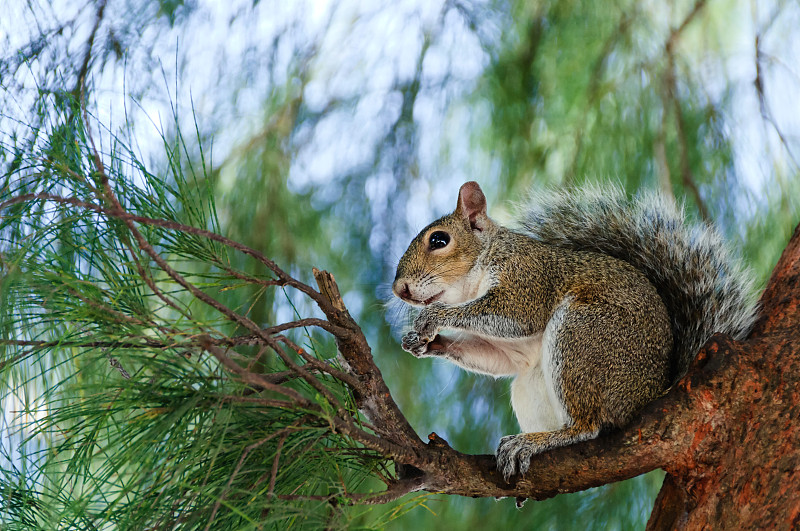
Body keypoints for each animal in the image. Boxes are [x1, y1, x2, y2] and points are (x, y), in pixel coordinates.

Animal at [392, 182, 756, 482]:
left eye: (439, 240)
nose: (399, 289)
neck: (482, 266)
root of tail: (651, 393)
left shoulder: (528, 279)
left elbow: (516, 315)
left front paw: (434, 317)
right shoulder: (512, 349)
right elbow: (501, 358)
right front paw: (423, 343)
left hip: (581, 336)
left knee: (587, 427)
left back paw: (534, 442)